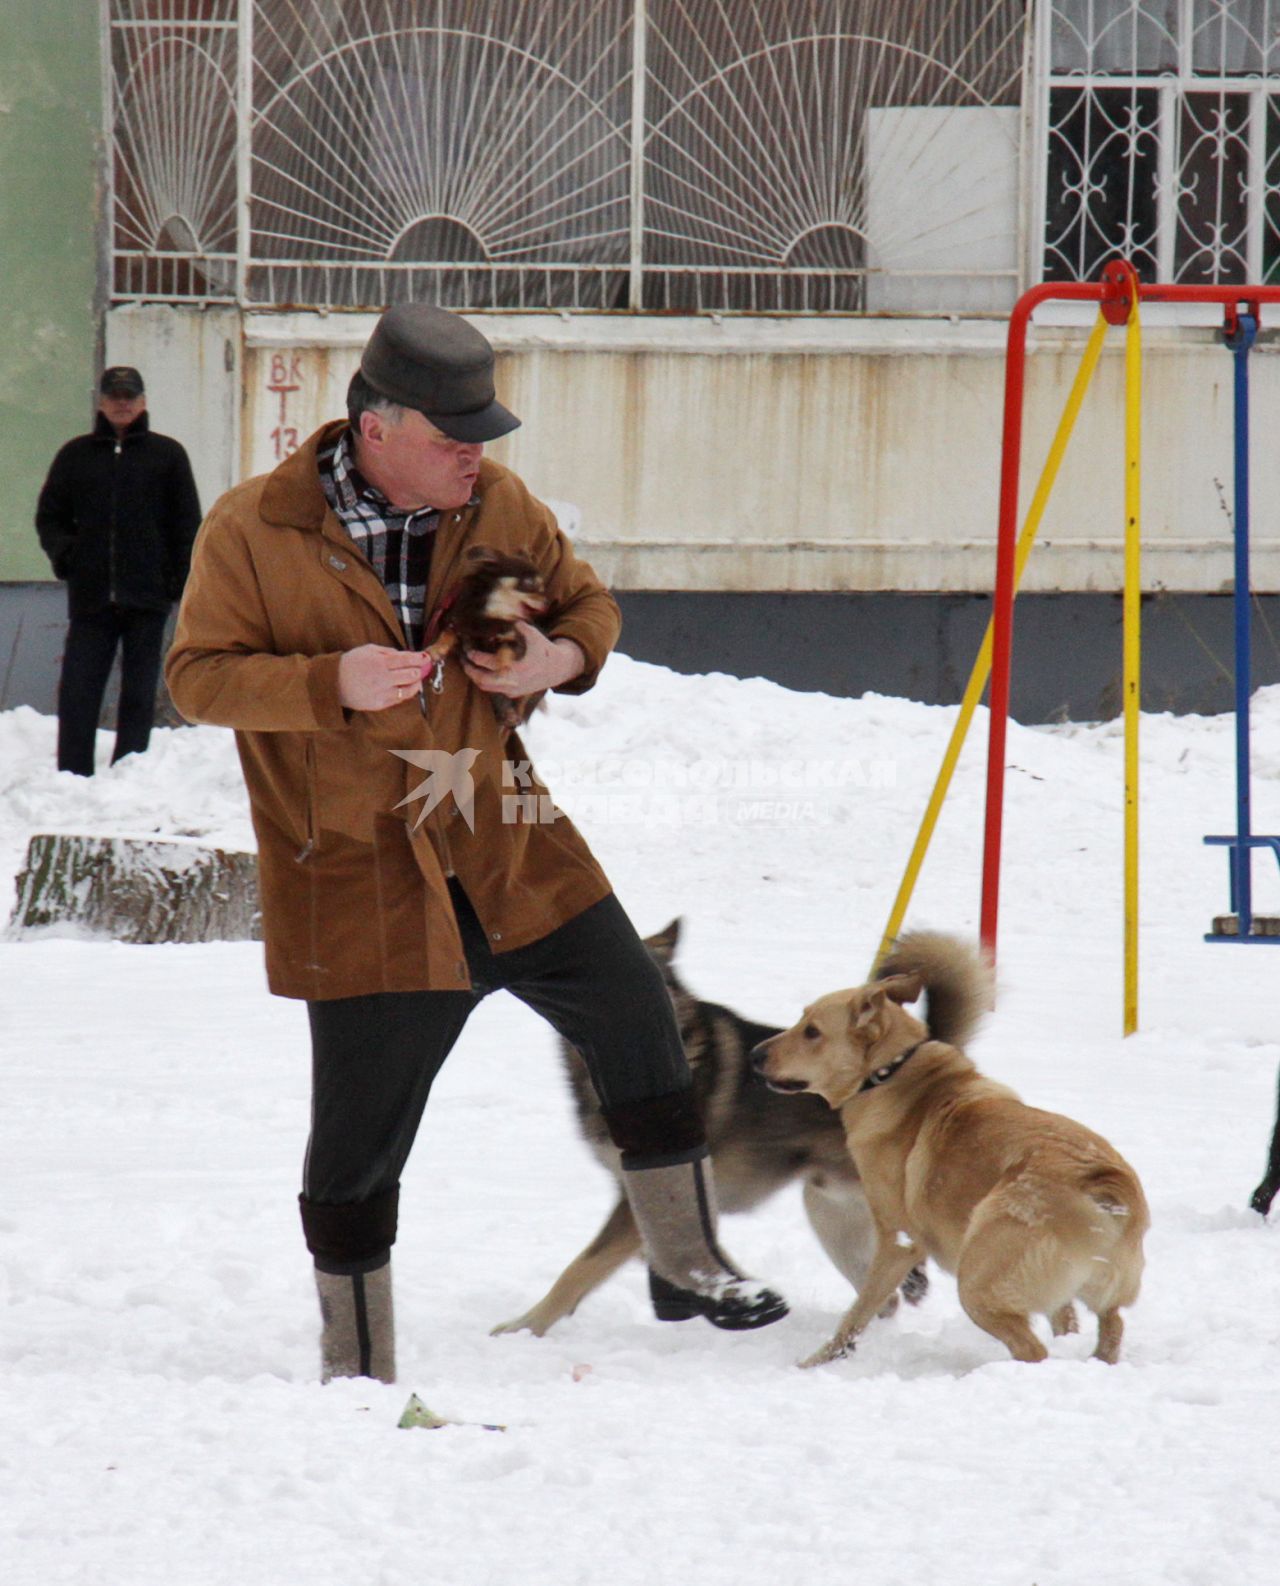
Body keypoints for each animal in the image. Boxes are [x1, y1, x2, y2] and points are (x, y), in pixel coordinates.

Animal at [751, 932, 1148, 1370]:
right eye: (802, 1021)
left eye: (812, 1031)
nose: (754, 1055)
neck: (890, 1072)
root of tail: (1103, 1181)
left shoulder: (897, 1240)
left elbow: (857, 1313)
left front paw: (816, 1362)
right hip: (1094, 1289)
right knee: (1107, 1325)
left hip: (977, 1281)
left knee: (1034, 1349)